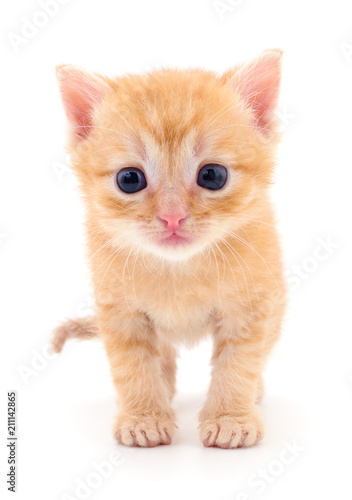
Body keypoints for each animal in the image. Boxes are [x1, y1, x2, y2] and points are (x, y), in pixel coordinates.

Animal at [53, 50, 288, 450]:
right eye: (129, 179)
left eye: (212, 175)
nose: (172, 217)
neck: (179, 268)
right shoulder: (118, 309)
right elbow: (133, 365)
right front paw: (143, 417)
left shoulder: (253, 307)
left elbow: (239, 363)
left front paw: (230, 419)